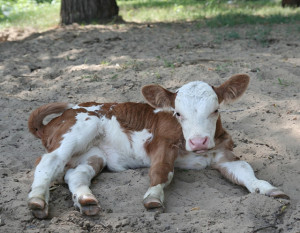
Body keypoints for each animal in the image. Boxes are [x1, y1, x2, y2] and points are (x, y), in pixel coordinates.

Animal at [27, 74, 288, 218]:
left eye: (215, 110)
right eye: (178, 113)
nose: (198, 141)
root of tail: (61, 117)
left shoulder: (223, 153)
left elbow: (245, 170)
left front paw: (267, 189)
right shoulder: (161, 143)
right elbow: (162, 170)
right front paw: (153, 196)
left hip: (93, 155)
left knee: (76, 174)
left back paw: (85, 200)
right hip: (79, 128)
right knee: (48, 161)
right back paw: (37, 200)